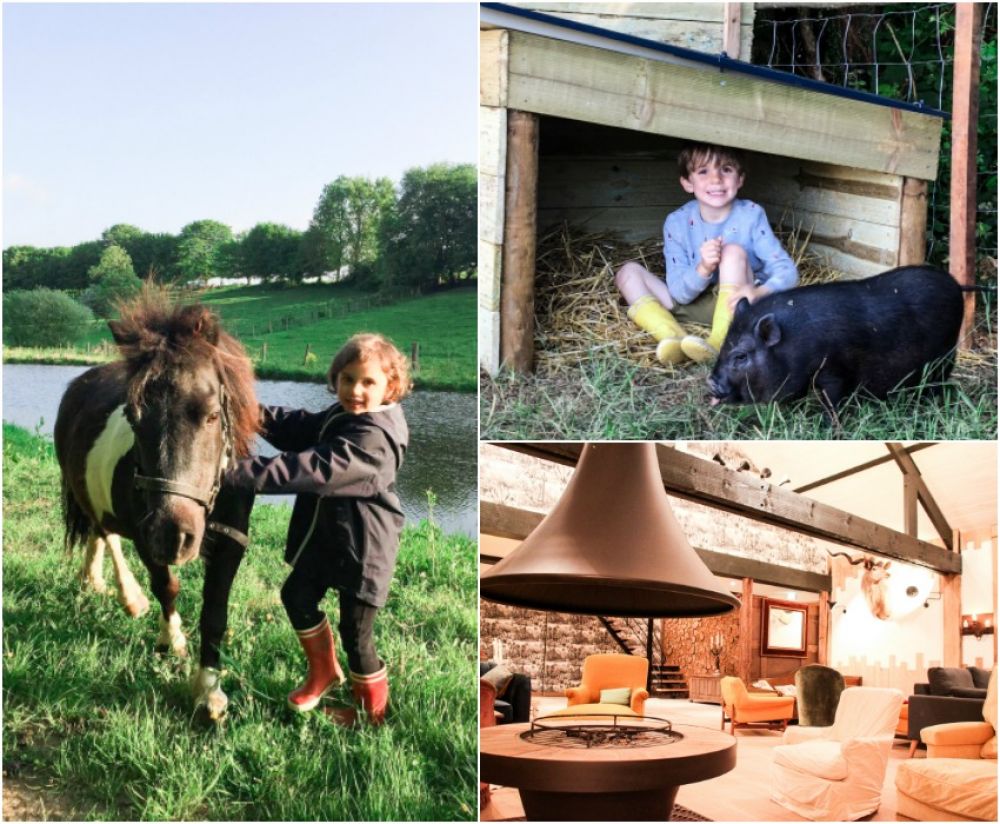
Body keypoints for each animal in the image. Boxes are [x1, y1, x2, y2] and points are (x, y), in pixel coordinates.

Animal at [55, 292, 260, 716]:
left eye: (212, 415)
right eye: (133, 419)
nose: (172, 534)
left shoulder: (231, 544)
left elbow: (214, 614)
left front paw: (208, 689)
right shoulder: (146, 536)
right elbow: (166, 586)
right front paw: (172, 640)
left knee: (99, 534)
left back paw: (93, 579)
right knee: (105, 532)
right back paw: (129, 597)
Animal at [708, 268, 964, 412]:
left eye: (741, 356)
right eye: (724, 346)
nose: (710, 381)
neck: (795, 344)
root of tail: (956, 284)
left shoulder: (834, 372)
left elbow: (832, 403)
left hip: (945, 354)